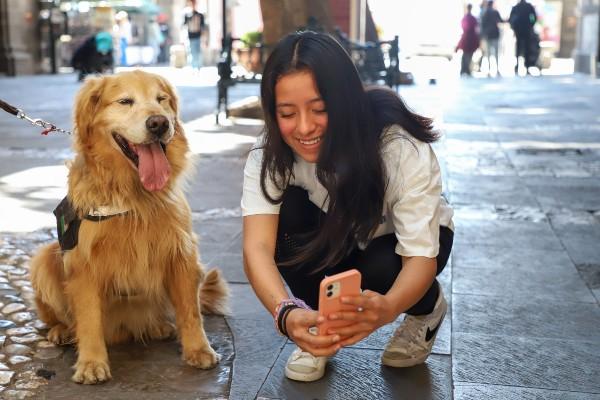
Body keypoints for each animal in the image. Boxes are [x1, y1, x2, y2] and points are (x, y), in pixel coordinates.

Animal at [29, 71, 229, 384]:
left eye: (162, 99)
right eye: (125, 101)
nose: (159, 123)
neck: (133, 196)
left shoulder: (181, 254)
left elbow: (190, 311)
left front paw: (199, 349)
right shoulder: (84, 264)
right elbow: (88, 318)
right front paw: (91, 362)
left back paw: (159, 326)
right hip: (44, 257)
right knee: (61, 318)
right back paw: (61, 331)